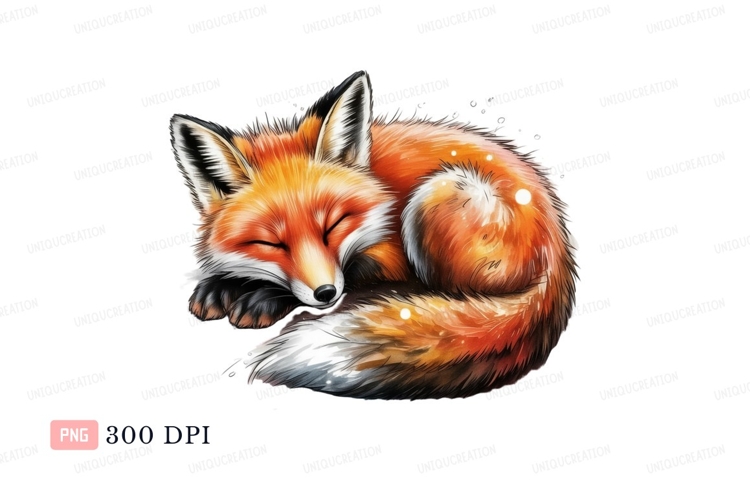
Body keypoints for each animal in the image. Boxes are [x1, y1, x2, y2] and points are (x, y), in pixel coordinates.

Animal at [170, 70, 577, 400]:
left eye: (334, 225)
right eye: (271, 243)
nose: (325, 294)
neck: (375, 182)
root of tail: (557, 250)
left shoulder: (387, 254)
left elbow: (353, 274)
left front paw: (260, 298)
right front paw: (221, 286)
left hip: (440, 192)